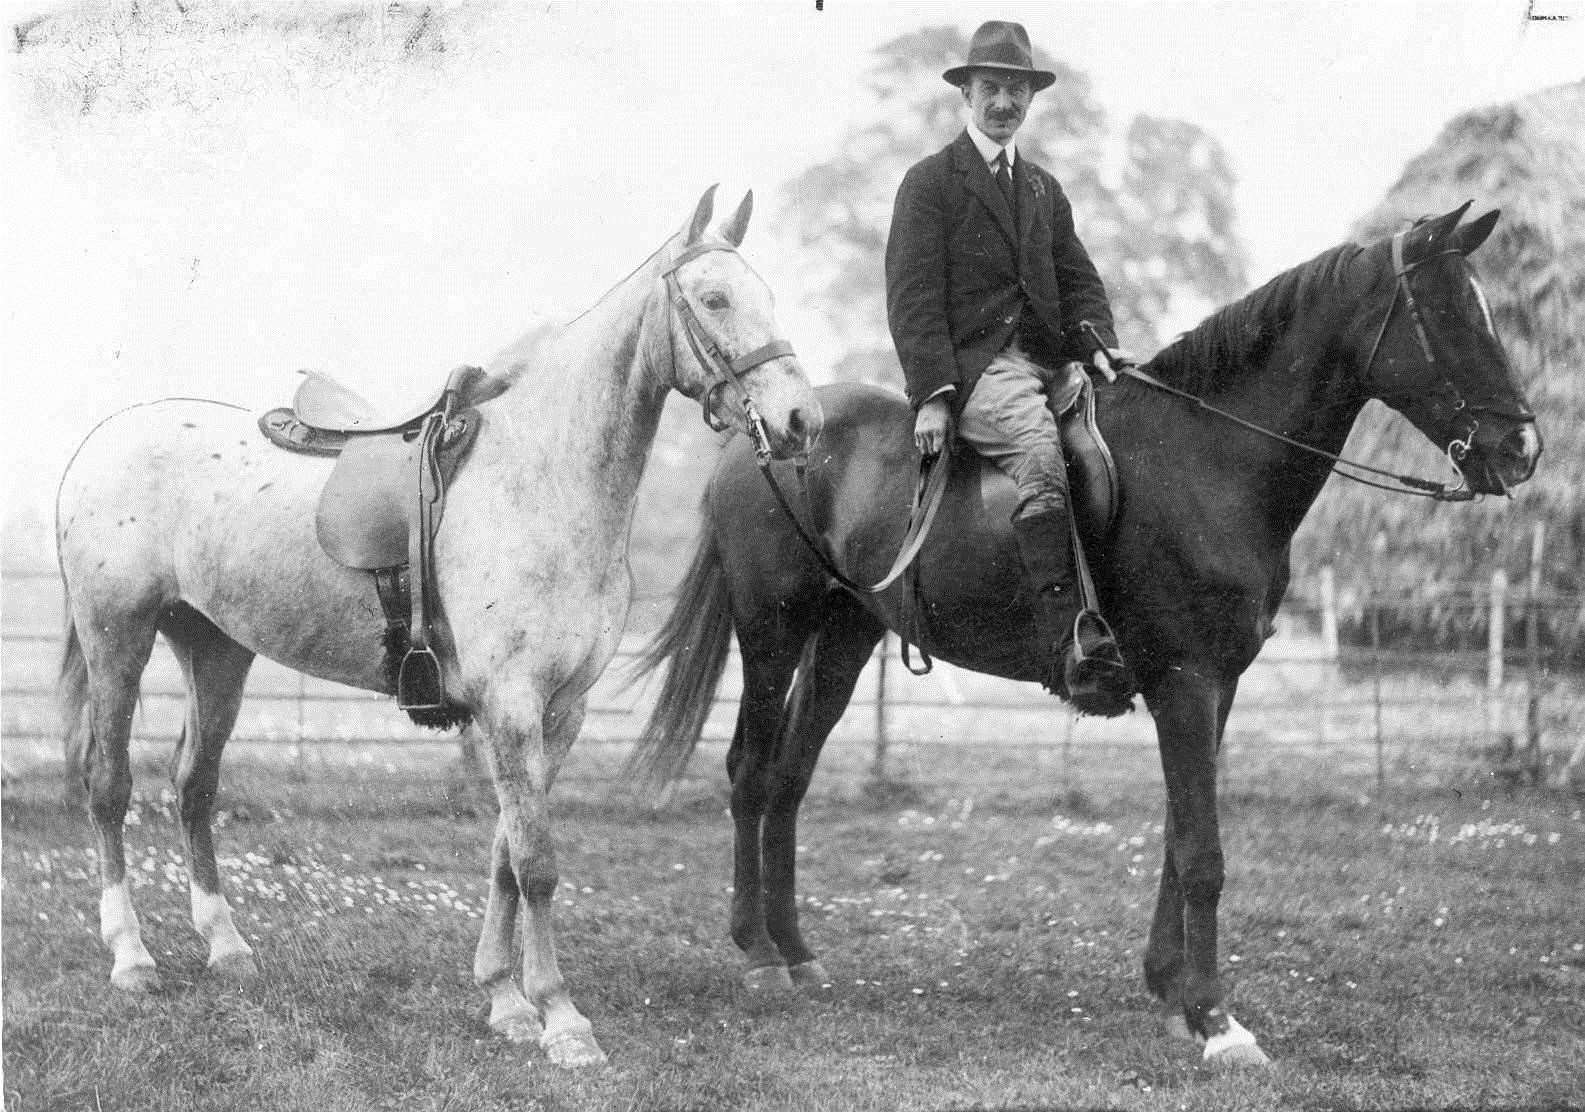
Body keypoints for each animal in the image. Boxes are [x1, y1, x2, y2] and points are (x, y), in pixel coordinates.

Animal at [55, 189, 824, 1070]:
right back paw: (132, 957)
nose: (801, 420)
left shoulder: (557, 712)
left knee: (194, 786)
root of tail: (102, 441)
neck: (545, 480)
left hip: (215, 648)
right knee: (109, 785)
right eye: (715, 298)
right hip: (119, 637)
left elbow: (505, 856)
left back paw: (227, 947)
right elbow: (537, 862)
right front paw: (561, 1019)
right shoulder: (512, 703)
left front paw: (505, 999)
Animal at [627, 204, 1534, 1064]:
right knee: (750, 774)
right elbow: (1201, 851)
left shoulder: (1218, 685)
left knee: (789, 778)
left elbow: (1176, 833)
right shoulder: (1184, 681)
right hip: (770, 631)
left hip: (845, 639)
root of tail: (767, 433)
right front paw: (1216, 1020)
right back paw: (758, 954)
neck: (1208, 458)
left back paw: (797, 950)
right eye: (1449, 314)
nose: (1522, 447)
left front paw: (1169, 986)